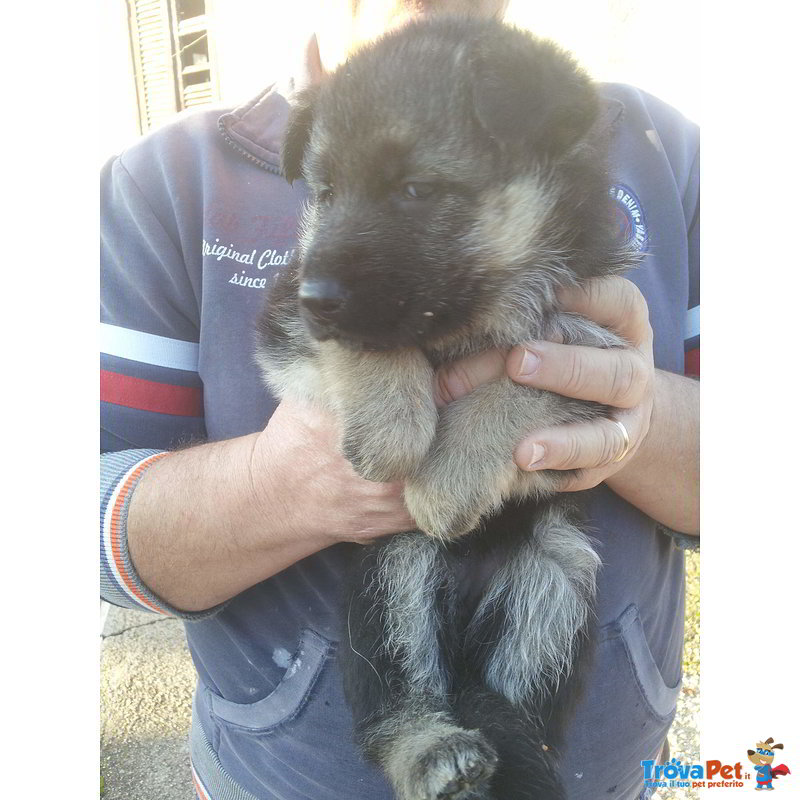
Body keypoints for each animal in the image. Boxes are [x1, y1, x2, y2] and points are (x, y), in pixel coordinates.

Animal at [260, 14, 636, 800]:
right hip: (394, 574)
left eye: (414, 188)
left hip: (555, 570)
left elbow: (522, 381)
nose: (319, 300)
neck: (481, 305)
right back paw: (431, 748)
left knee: (514, 701)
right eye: (326, 192)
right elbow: (371, 343)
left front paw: (449, 476)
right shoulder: (283, 316)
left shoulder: (601, 361)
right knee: (395, 704)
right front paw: (393, 431)